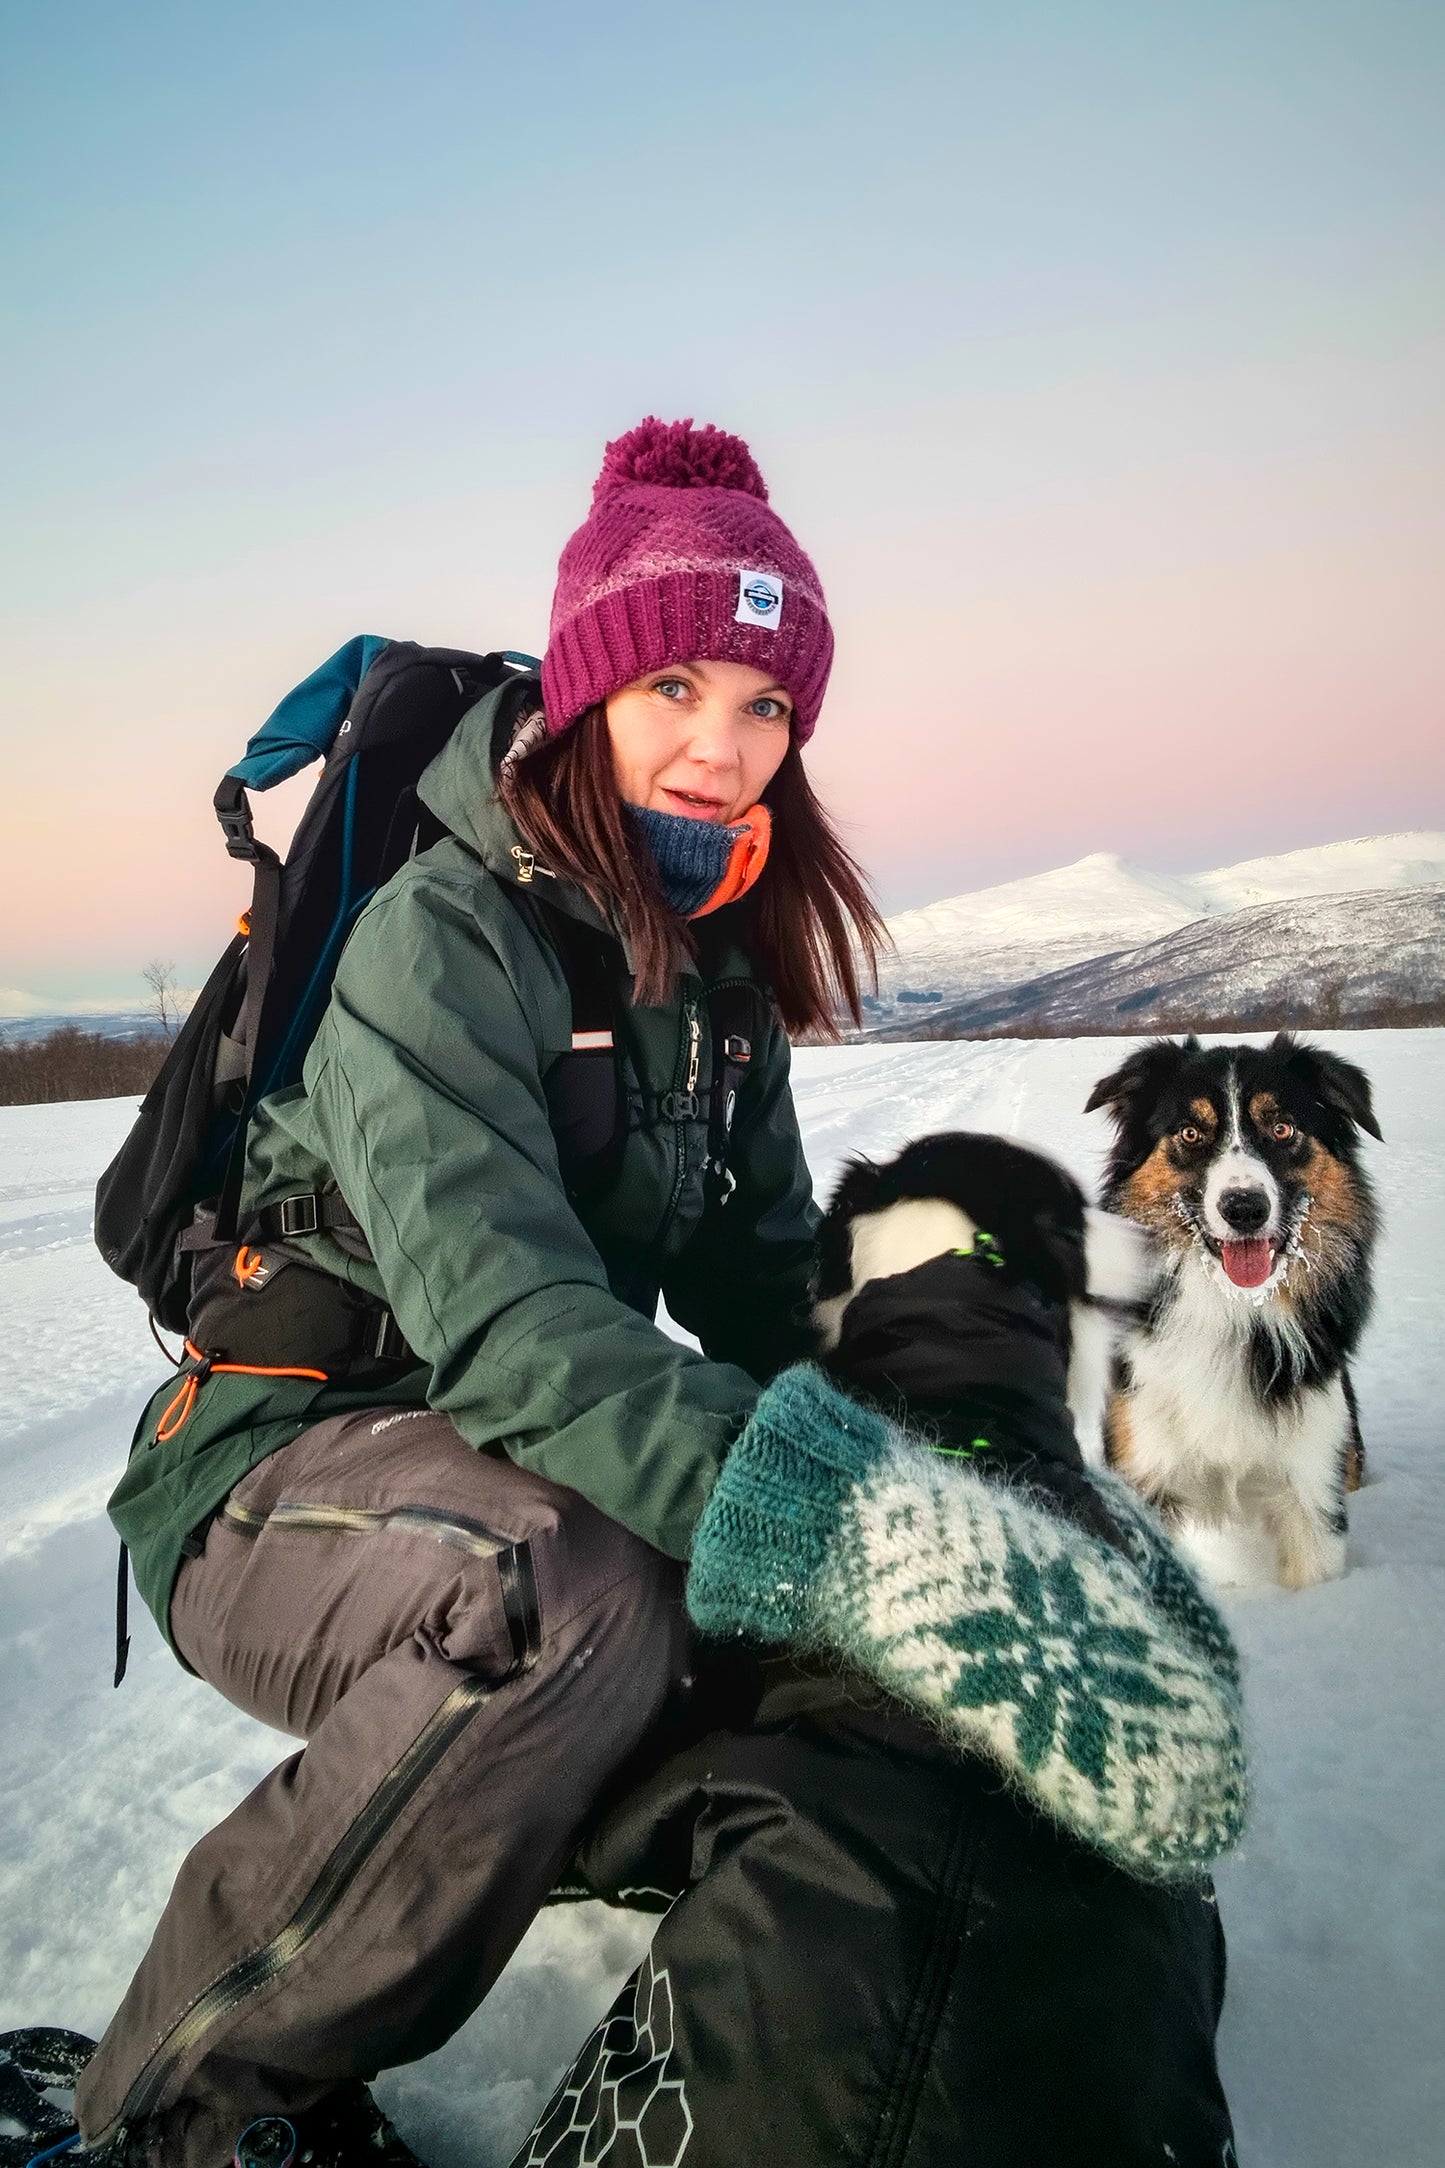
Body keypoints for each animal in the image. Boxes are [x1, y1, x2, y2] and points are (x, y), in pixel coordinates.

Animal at [1091, 1031, 1386, 1595]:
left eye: (1282, 1128)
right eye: (1190, 1133)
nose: (1245, 1208)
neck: (1232, 1309)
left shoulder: (1312, 1481)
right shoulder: (1148, 1466)